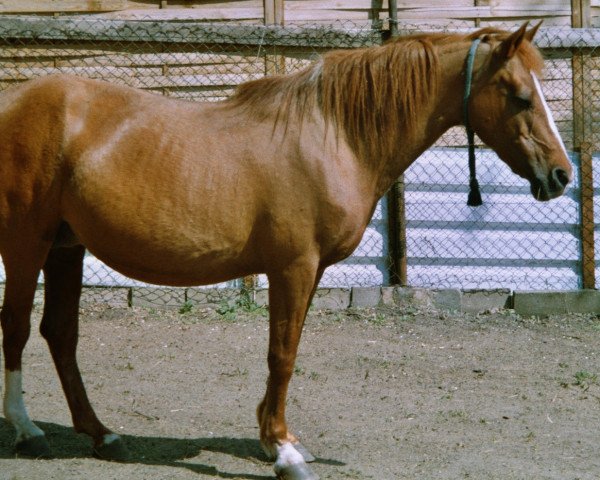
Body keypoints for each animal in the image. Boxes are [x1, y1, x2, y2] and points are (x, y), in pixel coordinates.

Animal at [1, 23, 572, 480]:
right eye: (520, 95)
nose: (561, 175)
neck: (334, 136)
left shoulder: (310, 271)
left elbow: (287, 349)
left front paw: (275, 436)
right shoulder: (293, 268)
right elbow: (282, 354)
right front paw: (282, 451)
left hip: (67, 247)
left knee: (60, 334)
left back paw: (102, 434)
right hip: (27, 242)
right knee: (18, 326)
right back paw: (28, 430)